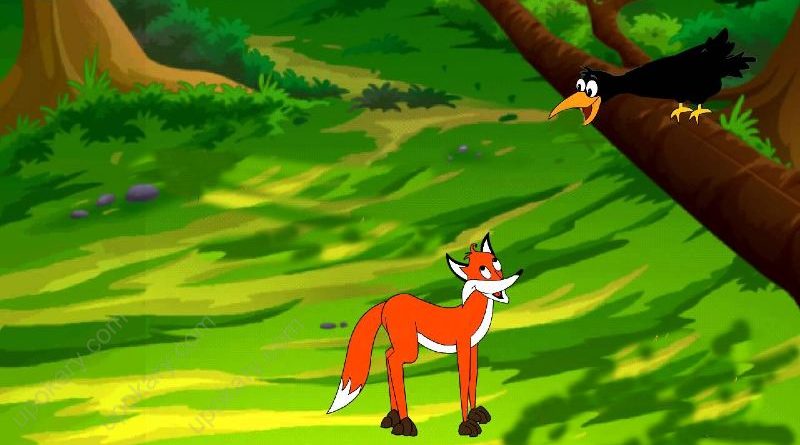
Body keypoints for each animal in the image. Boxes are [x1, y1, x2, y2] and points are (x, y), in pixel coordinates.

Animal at [326, 233, 523, 437]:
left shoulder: (473, 347)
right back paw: (405, 424)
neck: (467, 314)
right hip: (410, 349)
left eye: (495, 262)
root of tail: (388, 302)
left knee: (388, 354)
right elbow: (463, 382)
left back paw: (393, 417)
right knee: (394, 360)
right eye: (482, 269)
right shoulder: (461, 346)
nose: (501, 282)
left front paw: (476, 414)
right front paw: (467, 425)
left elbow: (472, 380)